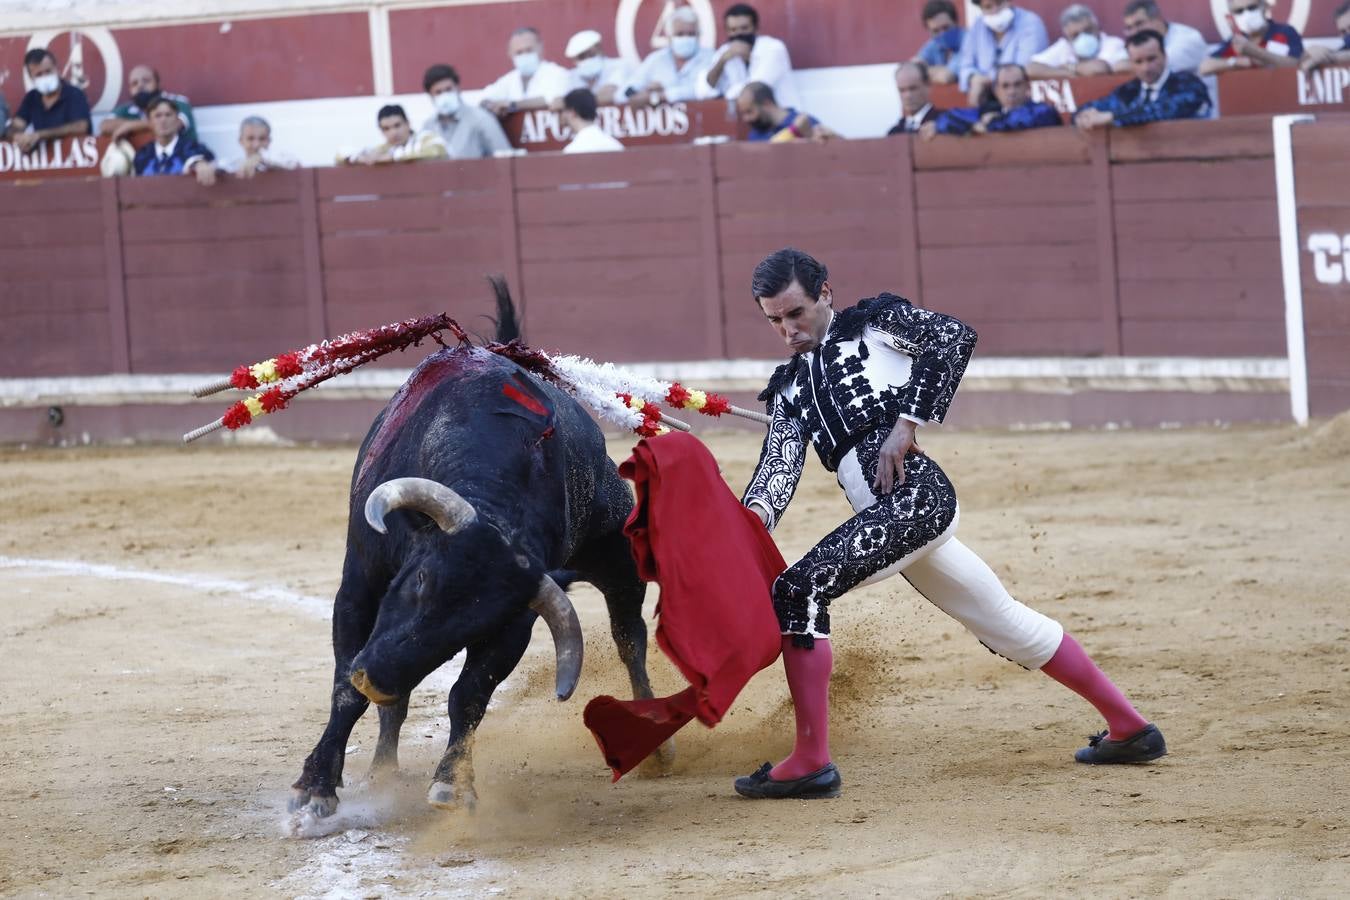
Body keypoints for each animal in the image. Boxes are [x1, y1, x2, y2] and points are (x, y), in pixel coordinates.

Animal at [288, 330, 658, 814]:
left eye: (475, 626)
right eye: (421, 579)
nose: (377, 680)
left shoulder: (516, 621)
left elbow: (469, 695)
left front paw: (453, 784)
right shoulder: (359, 587)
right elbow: (345, 691)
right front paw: (315, 786)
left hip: (620, 559)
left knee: (630, 637)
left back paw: (653, 741)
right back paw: (382, 771)